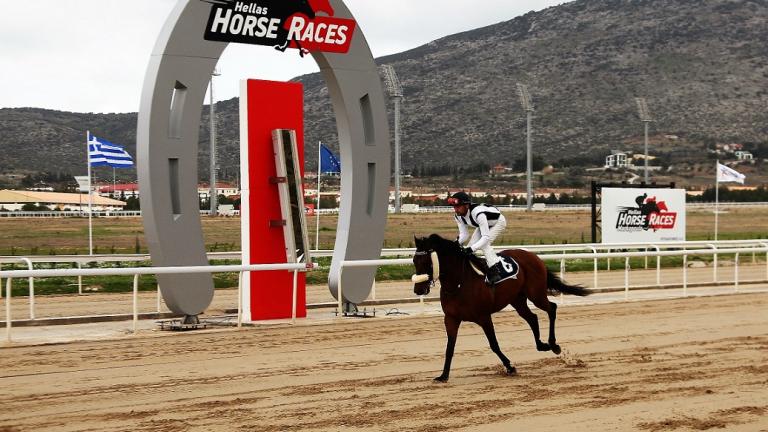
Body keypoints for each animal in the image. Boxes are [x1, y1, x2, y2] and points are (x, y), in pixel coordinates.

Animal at [414, 233, 588, 382]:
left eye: (427, 262)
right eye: (414, 261)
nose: (418, 289)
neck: (458, 283)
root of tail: (533, 256)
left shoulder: (484, 316)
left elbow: (494, 344)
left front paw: (510, 367)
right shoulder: (451, 319)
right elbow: (449, 348)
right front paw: (443, 375)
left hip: (536, 294)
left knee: (551, 308)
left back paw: (553, 345)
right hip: (517, 299)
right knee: (532, 317)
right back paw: (541, 345)